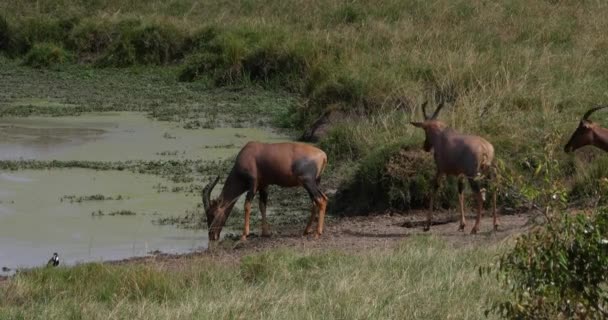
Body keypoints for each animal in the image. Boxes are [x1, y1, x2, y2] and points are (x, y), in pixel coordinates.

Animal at [408, 101, 498, 234]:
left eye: (425, 129)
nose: (425, 147)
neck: (442, 136)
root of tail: (485, 147)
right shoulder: (460, 175)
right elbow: (460, 193)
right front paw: (462, 225)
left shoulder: (440, 170)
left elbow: (434, 188)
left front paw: (427, 225)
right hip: (487, 172)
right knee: (493, 190)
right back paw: (495, 224)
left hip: (473, 176)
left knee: (480, 197)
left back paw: (475, 228)